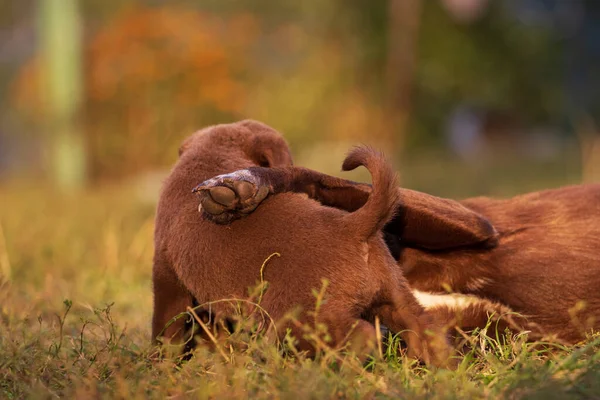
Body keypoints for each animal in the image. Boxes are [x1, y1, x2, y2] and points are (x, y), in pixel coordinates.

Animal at [152, 119, 452, 366]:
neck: (210, 154)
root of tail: (353, 226)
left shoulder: (167, 276)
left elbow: (165, 329)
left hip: (297, 316)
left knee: (361, 336)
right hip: (397, 299)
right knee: (429, 335)